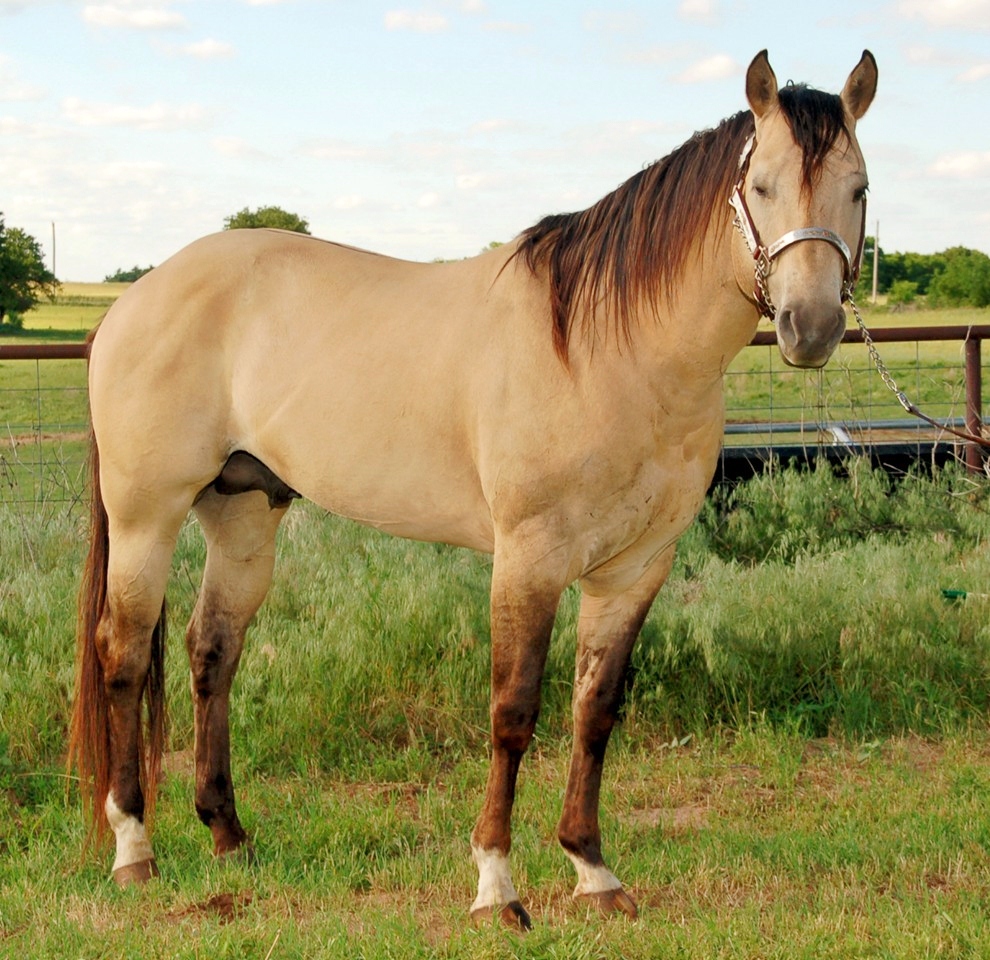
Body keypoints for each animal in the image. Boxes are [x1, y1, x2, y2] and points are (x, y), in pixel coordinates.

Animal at [69, 50, 877, 928]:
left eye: (859, 187)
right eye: (760, 185)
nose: (810, 328)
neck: (607, 350)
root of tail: (136, 297)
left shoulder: (635, 569)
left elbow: (595, 710)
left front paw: (593, 871)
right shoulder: (528, 560)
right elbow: (514, 712)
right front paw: (497, 886)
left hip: (243, 513)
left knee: (212, 651)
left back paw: (228, 833)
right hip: (147, 515)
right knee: (121, 657)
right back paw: (133, 849)